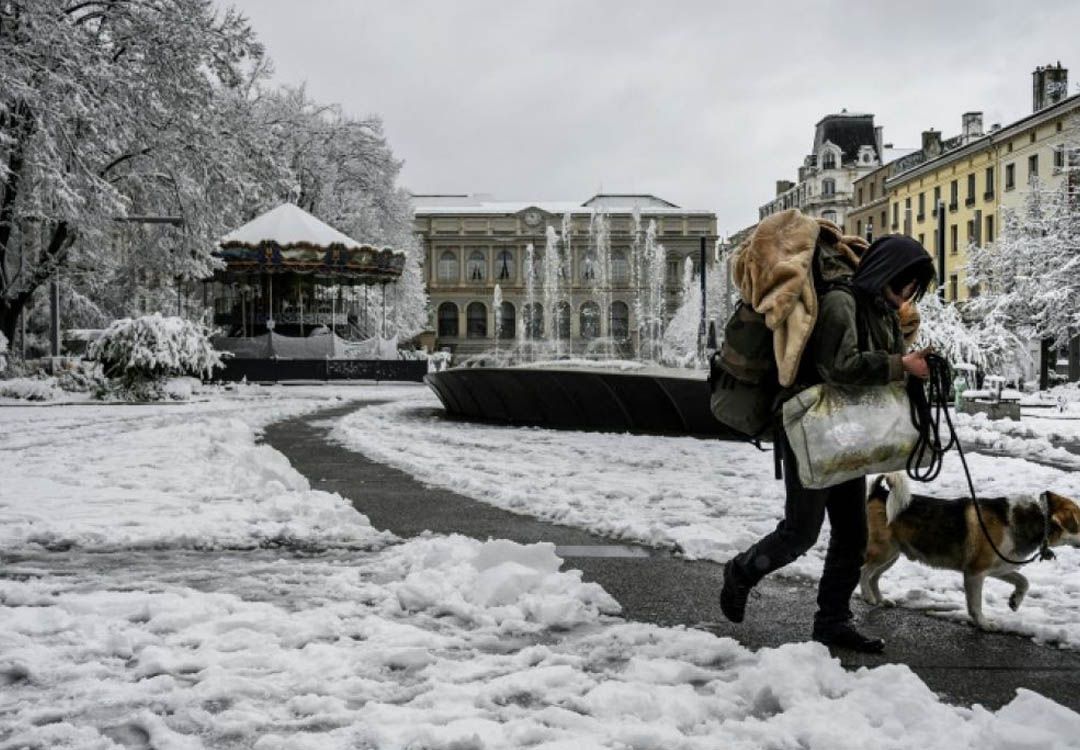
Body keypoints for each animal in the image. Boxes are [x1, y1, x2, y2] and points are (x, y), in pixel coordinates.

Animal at [859, 475, 1080, 626]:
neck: (1038, 519)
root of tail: (879, 493)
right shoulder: (975, 573)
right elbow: (975, 604)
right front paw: (983, 624)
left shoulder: (999, 568)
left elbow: (1023, 582)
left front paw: (1015, 602)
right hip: (882, 552)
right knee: (864, 572)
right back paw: (867, 596)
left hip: (892, 555)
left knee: (874, 577)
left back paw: (880, 600)